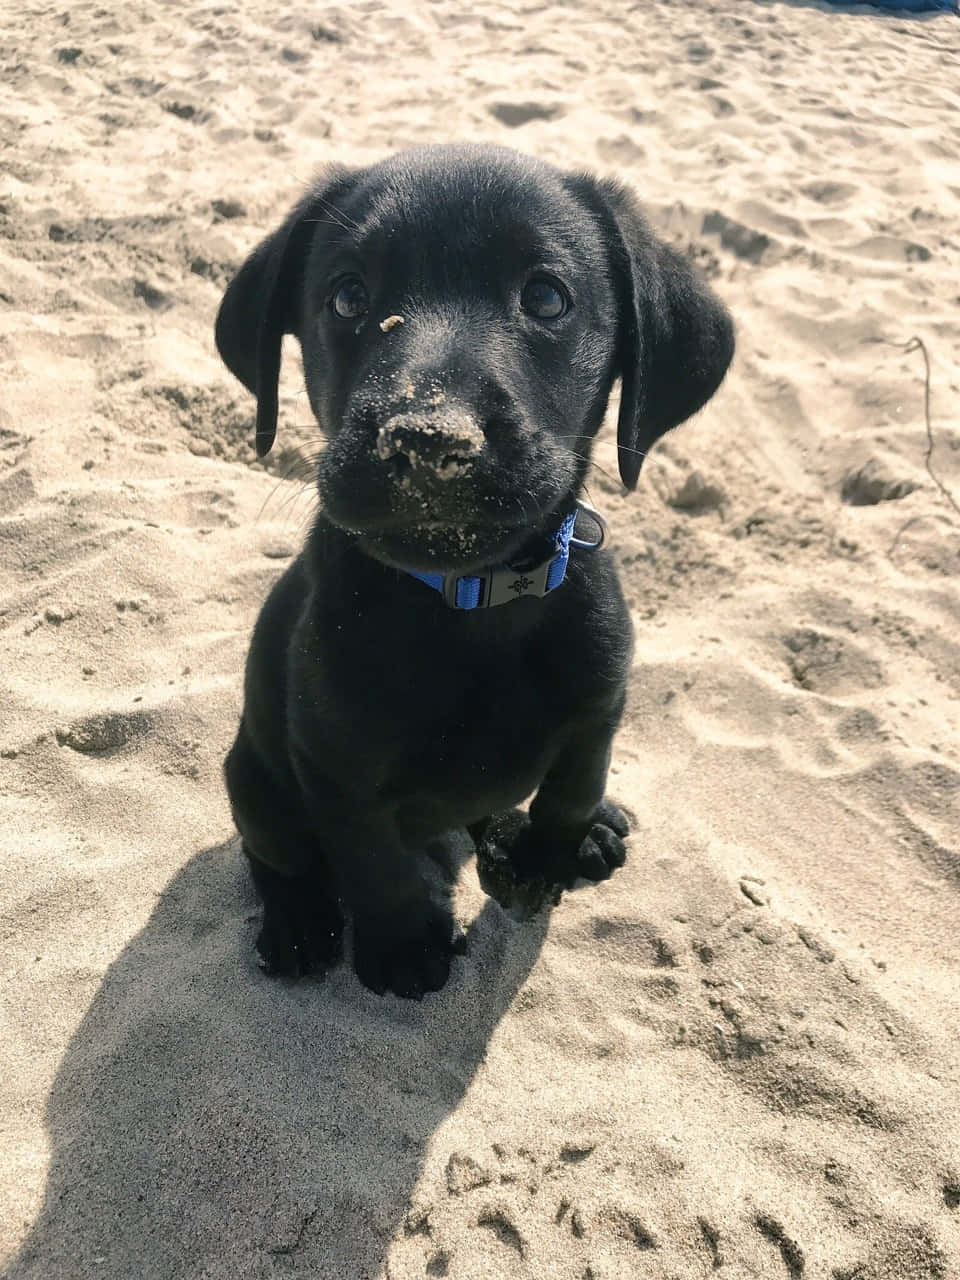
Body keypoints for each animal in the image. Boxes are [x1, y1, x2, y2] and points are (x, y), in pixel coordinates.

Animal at [216, 142, 727, 998]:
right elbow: (373, 865)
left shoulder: (600, 707)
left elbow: (571, 792)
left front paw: (552, 857)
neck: (477, 605)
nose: (429, 441)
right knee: (279, 858)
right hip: (252, 779)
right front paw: (400, 948)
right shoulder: (336, 770)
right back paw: (297, 927)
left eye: (546, 297)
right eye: (348, 297)